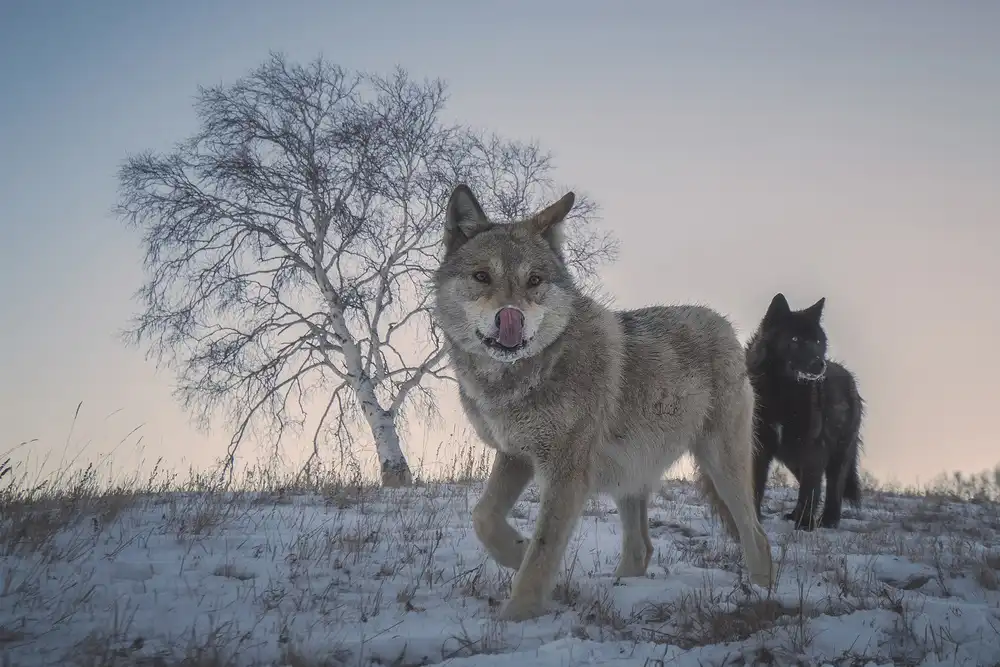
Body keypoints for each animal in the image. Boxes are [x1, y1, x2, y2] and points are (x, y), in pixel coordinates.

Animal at [432, 184, 776, 621]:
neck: (522, 378)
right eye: (482, 277)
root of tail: (724, 323)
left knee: (757, 535)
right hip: (629, 474)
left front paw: (517, 616)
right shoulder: (516, 456)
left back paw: (762, 596)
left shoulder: (565, 474)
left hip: (721, 466)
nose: (510, 318)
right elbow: (483, 518)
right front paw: (518, 551)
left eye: (534, 281)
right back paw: (624, 591)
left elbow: (542, 554)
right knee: (641, 548)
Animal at [745, 293, 865, 531]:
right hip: (792, 456)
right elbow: (757, 485)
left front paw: (805, 524)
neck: (782, 393)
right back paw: (795, 515)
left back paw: (828, 520)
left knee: (833, 488)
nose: (820, 365)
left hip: (838, 455)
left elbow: (811, 488)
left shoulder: (813, 446)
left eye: (818, 342)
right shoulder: (759, 445)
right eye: (795, 340)